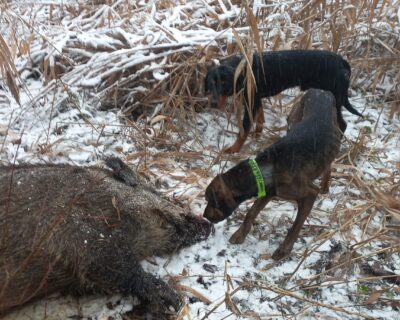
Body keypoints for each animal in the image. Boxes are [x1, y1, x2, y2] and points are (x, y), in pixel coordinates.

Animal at [205, 49, 360, 153]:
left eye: (224, 84)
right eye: (211, 83)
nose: (213, 103)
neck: (242, 69)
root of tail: (342, 61)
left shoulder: (250, 103)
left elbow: (243, 130)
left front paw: (234, 149)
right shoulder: (256, 100)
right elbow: (260, 118)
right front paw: (257, 135)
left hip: (335, 98)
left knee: (343, 124)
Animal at [205, 89, 342, 260]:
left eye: (211, 201)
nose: (204, 216)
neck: (269, 167)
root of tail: (321, 91)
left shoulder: (310, 194)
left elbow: (296, 226)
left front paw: (284, 249)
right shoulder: (267, 190)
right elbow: (250, 213)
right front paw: (240, 235)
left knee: (329, 164)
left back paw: (325, 187)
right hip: (294, 122)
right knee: (327, 162)